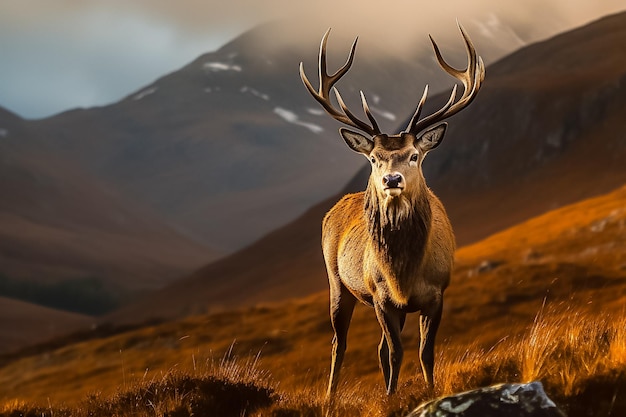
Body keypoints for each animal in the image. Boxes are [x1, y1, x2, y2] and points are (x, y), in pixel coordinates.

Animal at [298, 23, 482, 396]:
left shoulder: (437, 293)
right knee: (340, 343)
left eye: (414, 155)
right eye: (373, 158)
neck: (404, 274)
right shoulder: (382, 295)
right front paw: (392, 398)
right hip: (338, 283)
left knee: (379, 348)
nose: (391, 179)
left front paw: (430, 392)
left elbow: (425, 352)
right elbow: (397, 353)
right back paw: (330, 397)